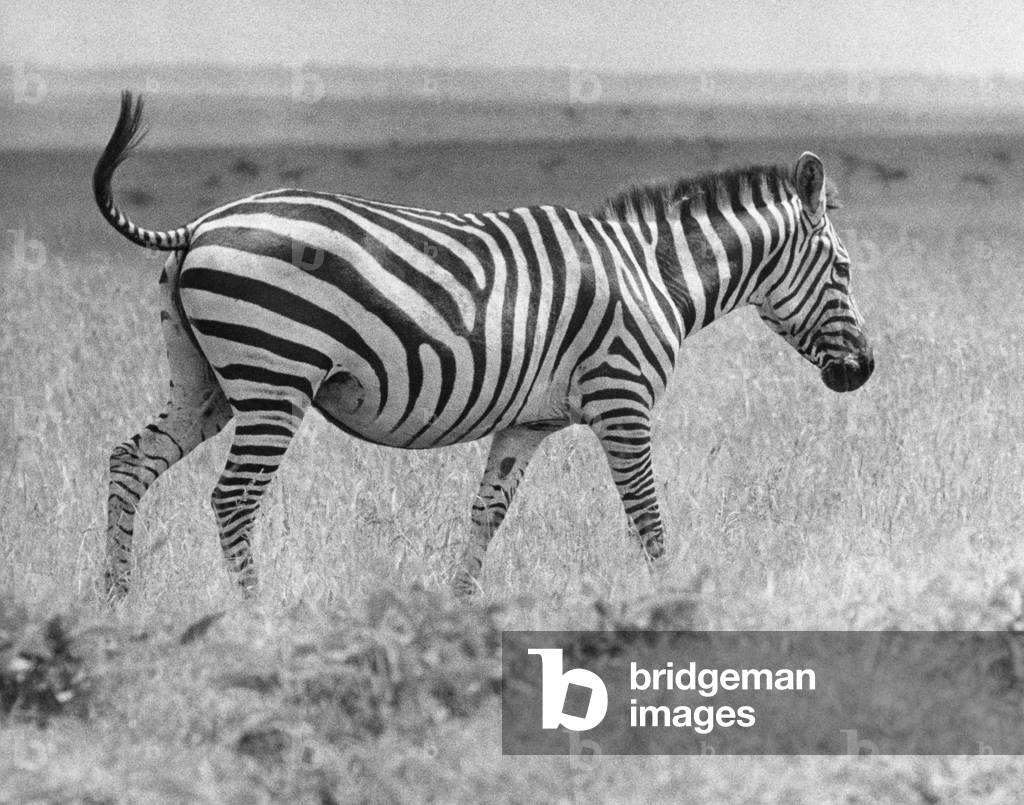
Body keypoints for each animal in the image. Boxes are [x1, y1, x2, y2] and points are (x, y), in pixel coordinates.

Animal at [95, 91, 873, 599]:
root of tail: (200, 225)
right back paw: (257, 613)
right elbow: (646, 513)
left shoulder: (525, 423)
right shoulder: (622, 402)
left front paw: (457, 605)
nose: (863, 371)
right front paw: (673, 599)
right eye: (843, 268)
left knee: (131, 461)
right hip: (273, 377)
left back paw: (118, 598)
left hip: (206, 383)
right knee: (232, 498)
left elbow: (487, 513)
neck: (649, 273)